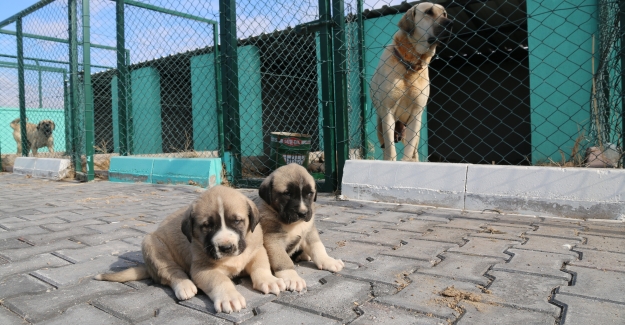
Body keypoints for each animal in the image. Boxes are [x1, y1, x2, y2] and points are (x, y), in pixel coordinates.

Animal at [94, 185, 286, 314]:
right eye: (207, 226)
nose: (225, 247)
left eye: (237, 221)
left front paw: (270, 280)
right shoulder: (202, 269)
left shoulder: (257, 250)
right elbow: (220, 280)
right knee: (170, 272)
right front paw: (230, 297)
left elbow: (261, 266)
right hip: (151, 244)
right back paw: (185, 285)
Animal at [370, 2, 454, 159]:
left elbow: (409, 150)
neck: (410, 64)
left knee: (414, 151)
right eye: (429, 12)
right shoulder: (387, 112)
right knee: (385, 147)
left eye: (444, 14)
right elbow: (391, 150)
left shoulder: (416, 115)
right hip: (380, 123)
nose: (451, 23)